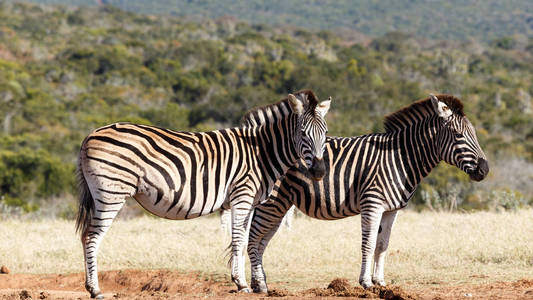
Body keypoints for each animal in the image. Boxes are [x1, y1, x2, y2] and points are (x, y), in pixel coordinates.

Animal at [76, 89, 330, 298]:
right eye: (303, 133)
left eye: (325, 133)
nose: (319, 171)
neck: (262, 152)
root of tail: (90, 135)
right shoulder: (242, 195)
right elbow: (238, 239)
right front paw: (241, 284)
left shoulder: (250, 202)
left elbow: (244, 239)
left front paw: (241, 281)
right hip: (111, 192)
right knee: (92, 236)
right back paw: (96, 290)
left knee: (85, 235)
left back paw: (90, 287)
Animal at [247, 94, 488, 292]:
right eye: (458, 135)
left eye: (474, 134)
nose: (484, 170)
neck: (401, 159)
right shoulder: (372, 203)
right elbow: (369, 243)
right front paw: (365, 282)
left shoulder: (392, 209)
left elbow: (382, 245)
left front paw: (380, 282)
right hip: (272, 202)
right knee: (253, 237)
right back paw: (256, 285)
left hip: (278, 205)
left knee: (261, 240)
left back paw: (257, 282)